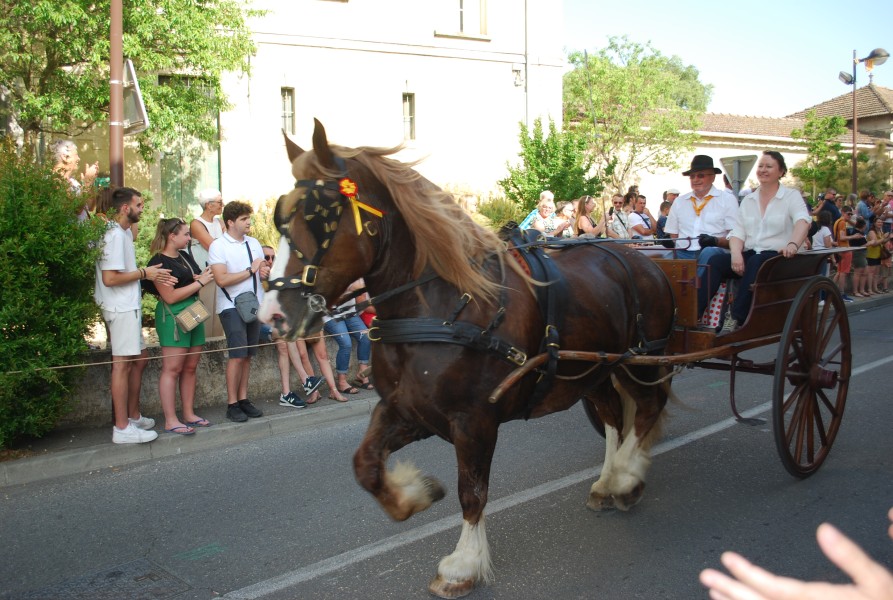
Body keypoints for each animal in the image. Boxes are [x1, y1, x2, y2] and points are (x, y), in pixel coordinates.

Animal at [258, 119, 676, 596]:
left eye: (318, 215)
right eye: (280, 217)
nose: (270, 315)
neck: (441, 309)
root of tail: (644, 261)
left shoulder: (474, 420)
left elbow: (471, 492)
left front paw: (463, 565)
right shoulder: (406, 409)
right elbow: (365, 465)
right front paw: (414, 493)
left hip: (640, 362)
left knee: (647, 410)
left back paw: (626, 477)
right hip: (594, 369)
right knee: (612, 418)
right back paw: (608, 481)